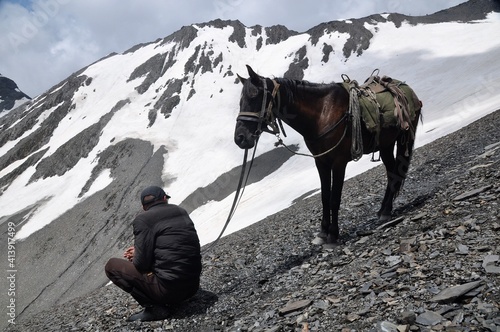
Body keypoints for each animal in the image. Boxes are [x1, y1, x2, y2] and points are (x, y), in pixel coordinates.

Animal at [234, 65, 422, 245]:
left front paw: (333, 233)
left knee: (396, 172)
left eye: (255, 96)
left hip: (405, 139)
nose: (240, 138)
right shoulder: (321, 162)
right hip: (386, 145)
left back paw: (385, 211)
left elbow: (334, 198)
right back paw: (384, 210)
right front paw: (323, 232)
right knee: (392, 173)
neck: (322, 114)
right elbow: (325, 196)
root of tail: (408, 90)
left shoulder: (339, 162)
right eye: (240, 101)